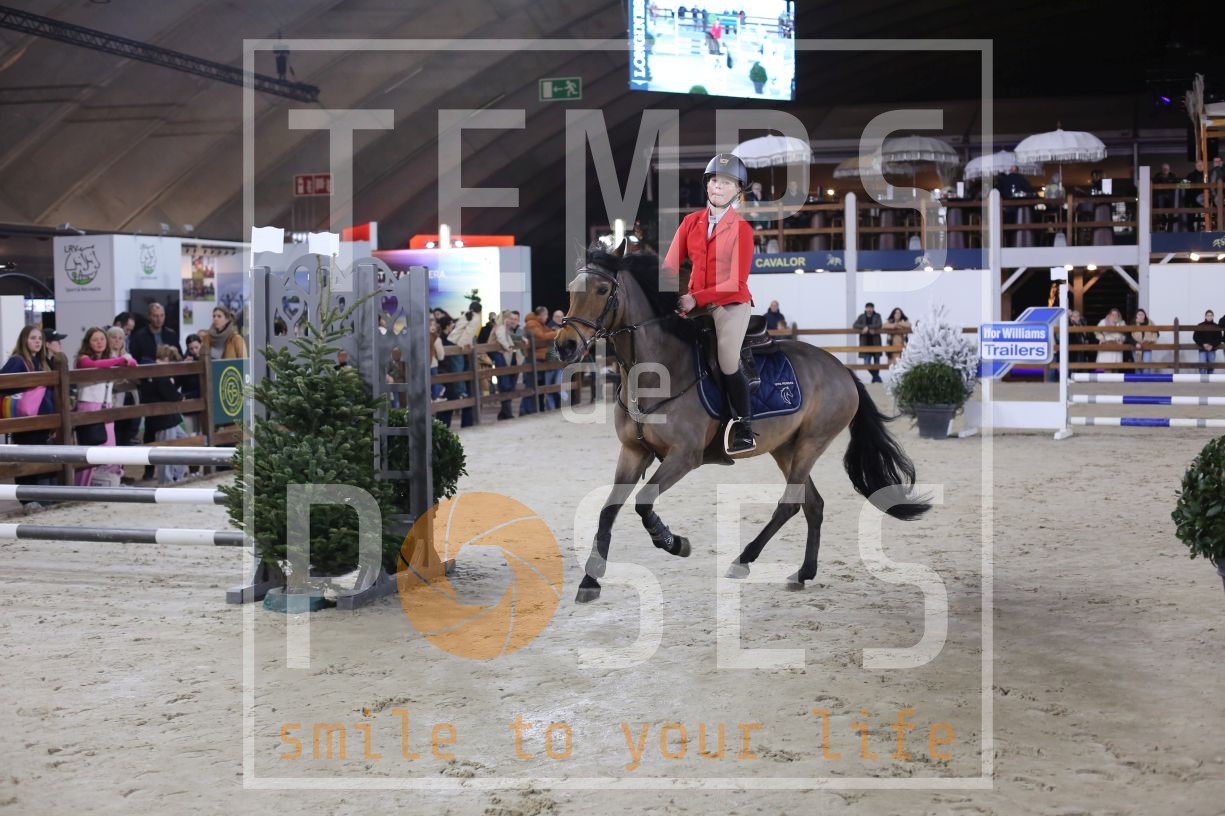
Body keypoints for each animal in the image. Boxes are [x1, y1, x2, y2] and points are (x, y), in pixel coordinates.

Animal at [555, 239, 930, 604]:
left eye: (603, 289)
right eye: (571, 290)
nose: (565, 346)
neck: (655, 372)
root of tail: (842, 369)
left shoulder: (684, 456)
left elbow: (644, 502)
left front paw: (673, 542)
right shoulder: (633, 453)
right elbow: (608, 511)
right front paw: (590, 580)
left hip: (812, 442)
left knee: (790, 503)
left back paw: (743, 560)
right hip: (785, 447)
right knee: (812, 504)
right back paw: (803, 572)